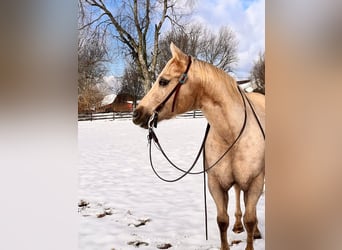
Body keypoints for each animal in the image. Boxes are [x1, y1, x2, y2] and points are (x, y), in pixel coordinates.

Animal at [132, 43, 266, 250]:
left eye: (163, 81)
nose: (136, 114)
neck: (231, 134)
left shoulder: (255, 182)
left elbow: (250, 219)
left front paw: (253, 231)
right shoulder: (216, 185)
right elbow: (222, 221)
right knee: (237, 194)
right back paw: (237, 225)